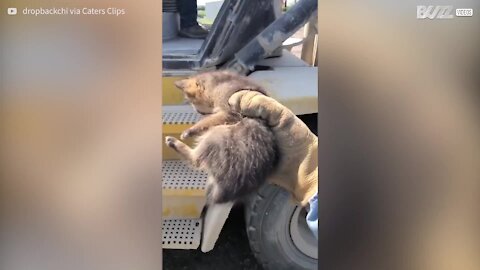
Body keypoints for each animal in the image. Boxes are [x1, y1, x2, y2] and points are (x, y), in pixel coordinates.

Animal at [165, 70, 280, 204]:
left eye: (199, 109)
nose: (200, 114)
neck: (217, 82)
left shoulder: (230, 108)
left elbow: (215, 119)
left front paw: (194, 128)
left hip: (221, 136)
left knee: (196, 159)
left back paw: (177, 144)